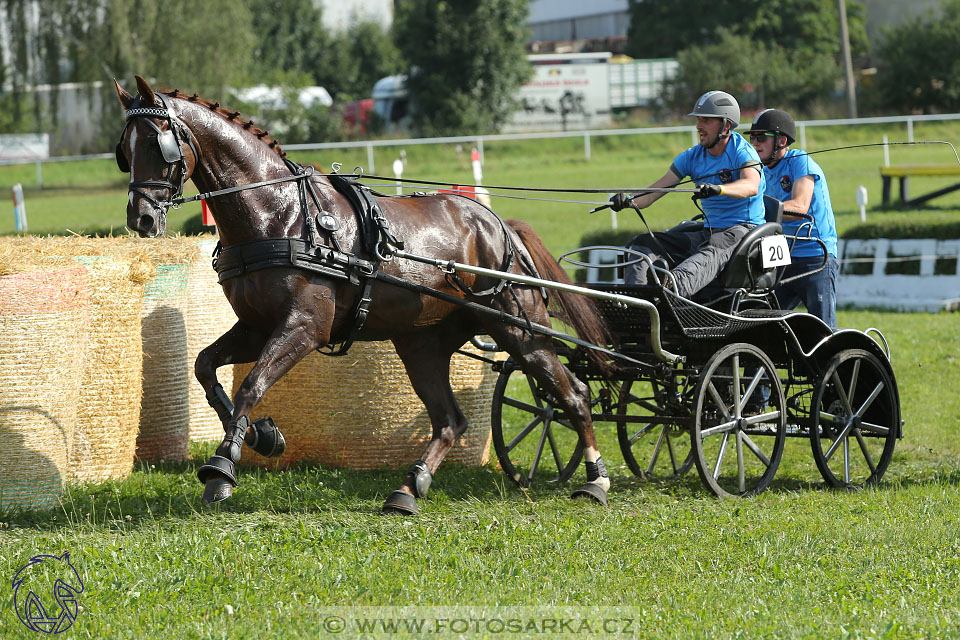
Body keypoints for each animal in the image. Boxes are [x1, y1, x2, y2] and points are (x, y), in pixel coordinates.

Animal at [112, 75, 608, 516]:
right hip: (422, 344)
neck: (278, 215)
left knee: (575, 395)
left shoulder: (305, 327)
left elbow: (252, 384)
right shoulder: (256, 326)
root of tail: (500, 226)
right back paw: (408, 489)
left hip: (519, 329)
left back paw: (596, 481)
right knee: (450, 420)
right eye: (124, 151)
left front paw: (222, 468)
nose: (141, 219)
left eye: (157, 144)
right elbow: (205, 368)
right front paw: (261, 437)